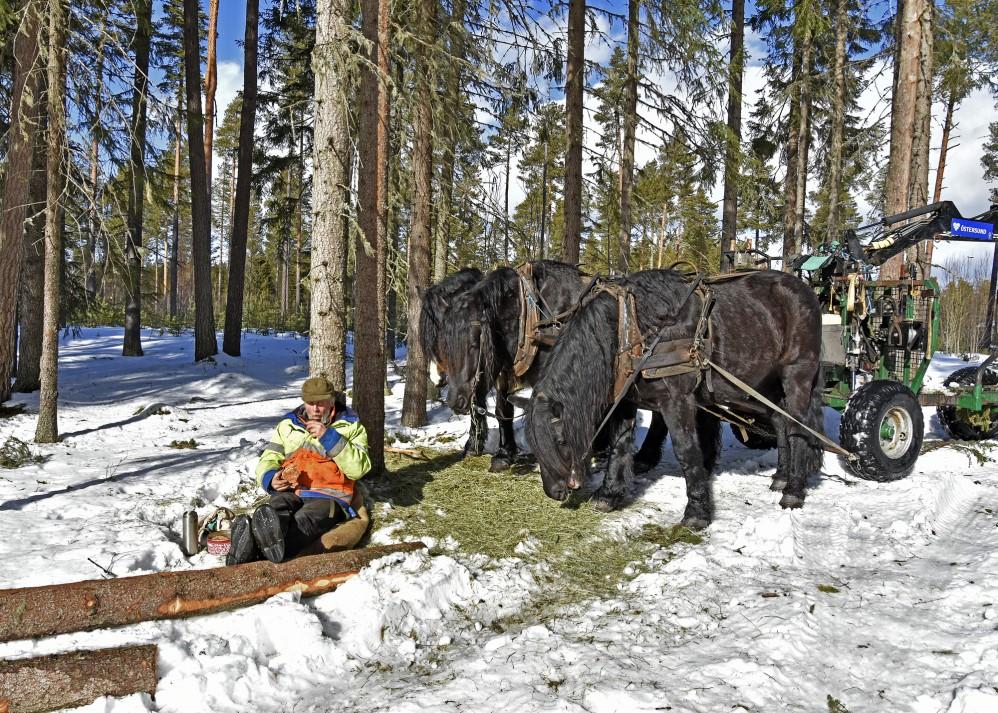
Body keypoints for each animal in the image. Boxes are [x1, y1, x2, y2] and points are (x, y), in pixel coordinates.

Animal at [440, 260, 668, 472]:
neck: (532, 312)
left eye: (473, 343)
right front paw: (504, 455)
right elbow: (502, 409)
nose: (454, 400)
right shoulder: (505, 368)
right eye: (445, 345)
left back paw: (643, 458)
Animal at [528, 270, 824, 524]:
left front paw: (696, 512)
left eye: (560, 440)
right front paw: (608, 495)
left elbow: (687, 451)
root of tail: (805, 291)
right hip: (765, 385)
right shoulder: (626, 401)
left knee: (798, 430)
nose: (554, 491)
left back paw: (793, 491)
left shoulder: (676, 400)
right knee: (781, 424)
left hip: (796, 377)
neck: (634, 326)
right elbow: (618, 447)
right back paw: (781, 477)